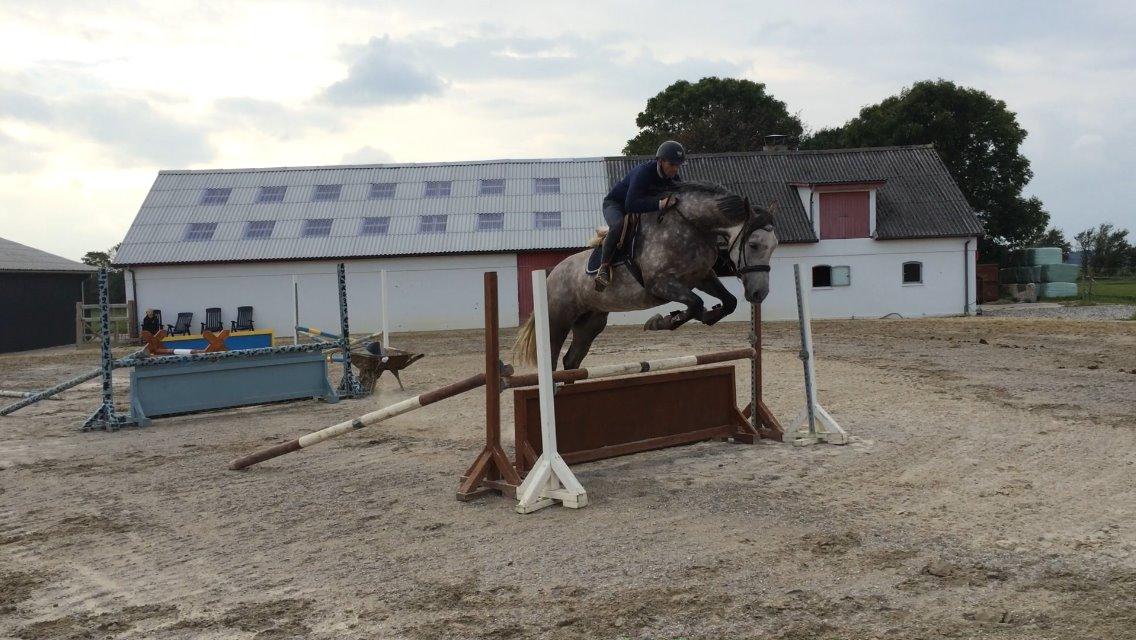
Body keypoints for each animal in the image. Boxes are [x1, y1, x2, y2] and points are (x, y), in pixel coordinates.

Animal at [518, 180, 777, 370]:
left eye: (774, 246)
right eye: (753, 245)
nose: (759, 293)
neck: (692, 225)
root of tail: (550, 274)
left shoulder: (701, 277)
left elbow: (728, 302)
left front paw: (707, 316)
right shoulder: (660, 284)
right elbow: (695, 303)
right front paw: (663, 321)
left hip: (590, 322)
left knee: (571, 360)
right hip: (557, 321)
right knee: (552, 359)